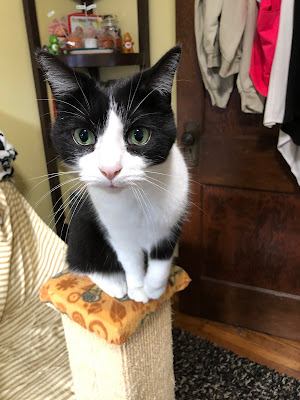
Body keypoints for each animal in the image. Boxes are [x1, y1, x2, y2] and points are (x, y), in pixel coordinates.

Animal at [37, 46, 188, 304]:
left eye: (139, 135)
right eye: (83, 136)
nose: (110, 169)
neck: (135, 197)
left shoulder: (174, 214)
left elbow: (162, 255)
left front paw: (155, 288)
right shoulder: (114, 229)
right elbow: (130, 259)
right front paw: (138, 289)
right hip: (82, 225)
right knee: (77, 259)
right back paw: (114, 283)